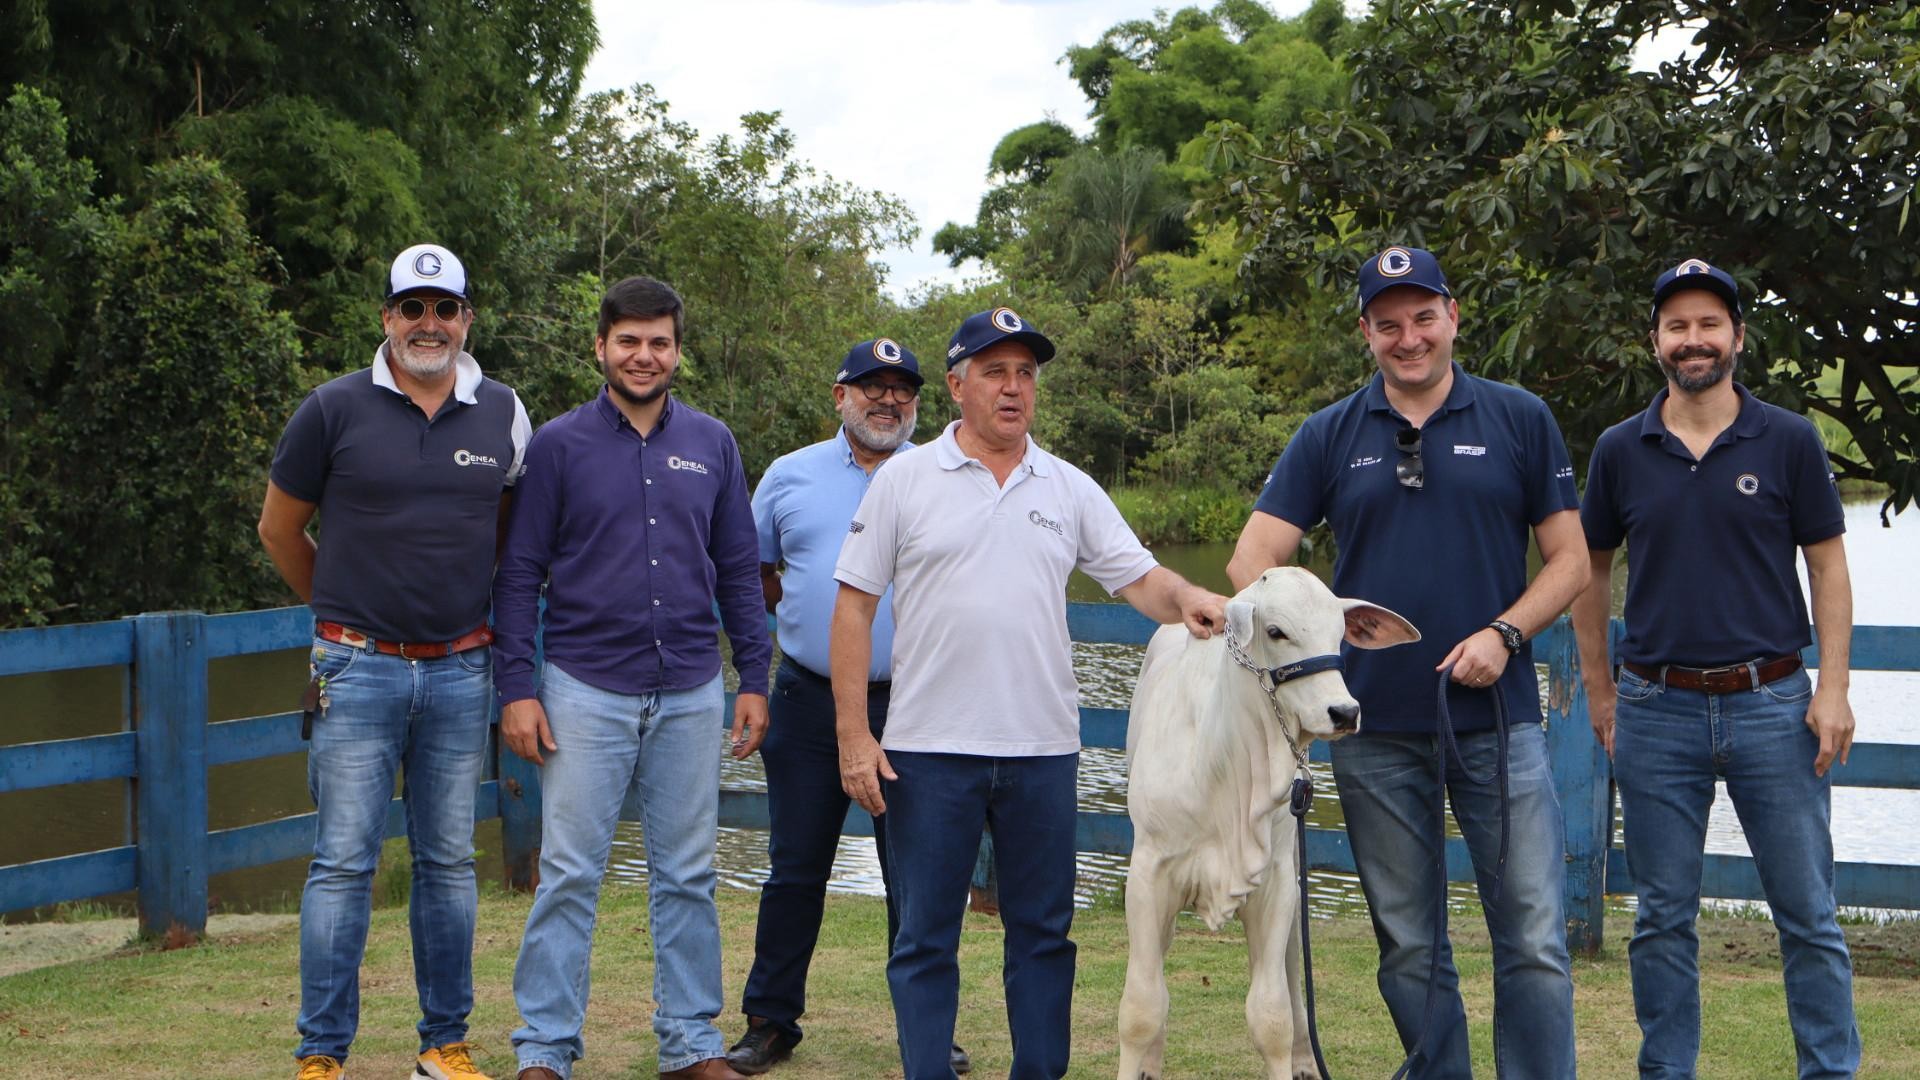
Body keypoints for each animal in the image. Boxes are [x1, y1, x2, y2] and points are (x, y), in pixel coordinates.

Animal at [1121, 568, 1420, 1068]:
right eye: (1277, 631)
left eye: (1339, 633)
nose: (1344, 712)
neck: (1221, 769)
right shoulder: (1148, 876)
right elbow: (1142, 1010)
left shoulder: (1276, 882)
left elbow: (1273, 1016)